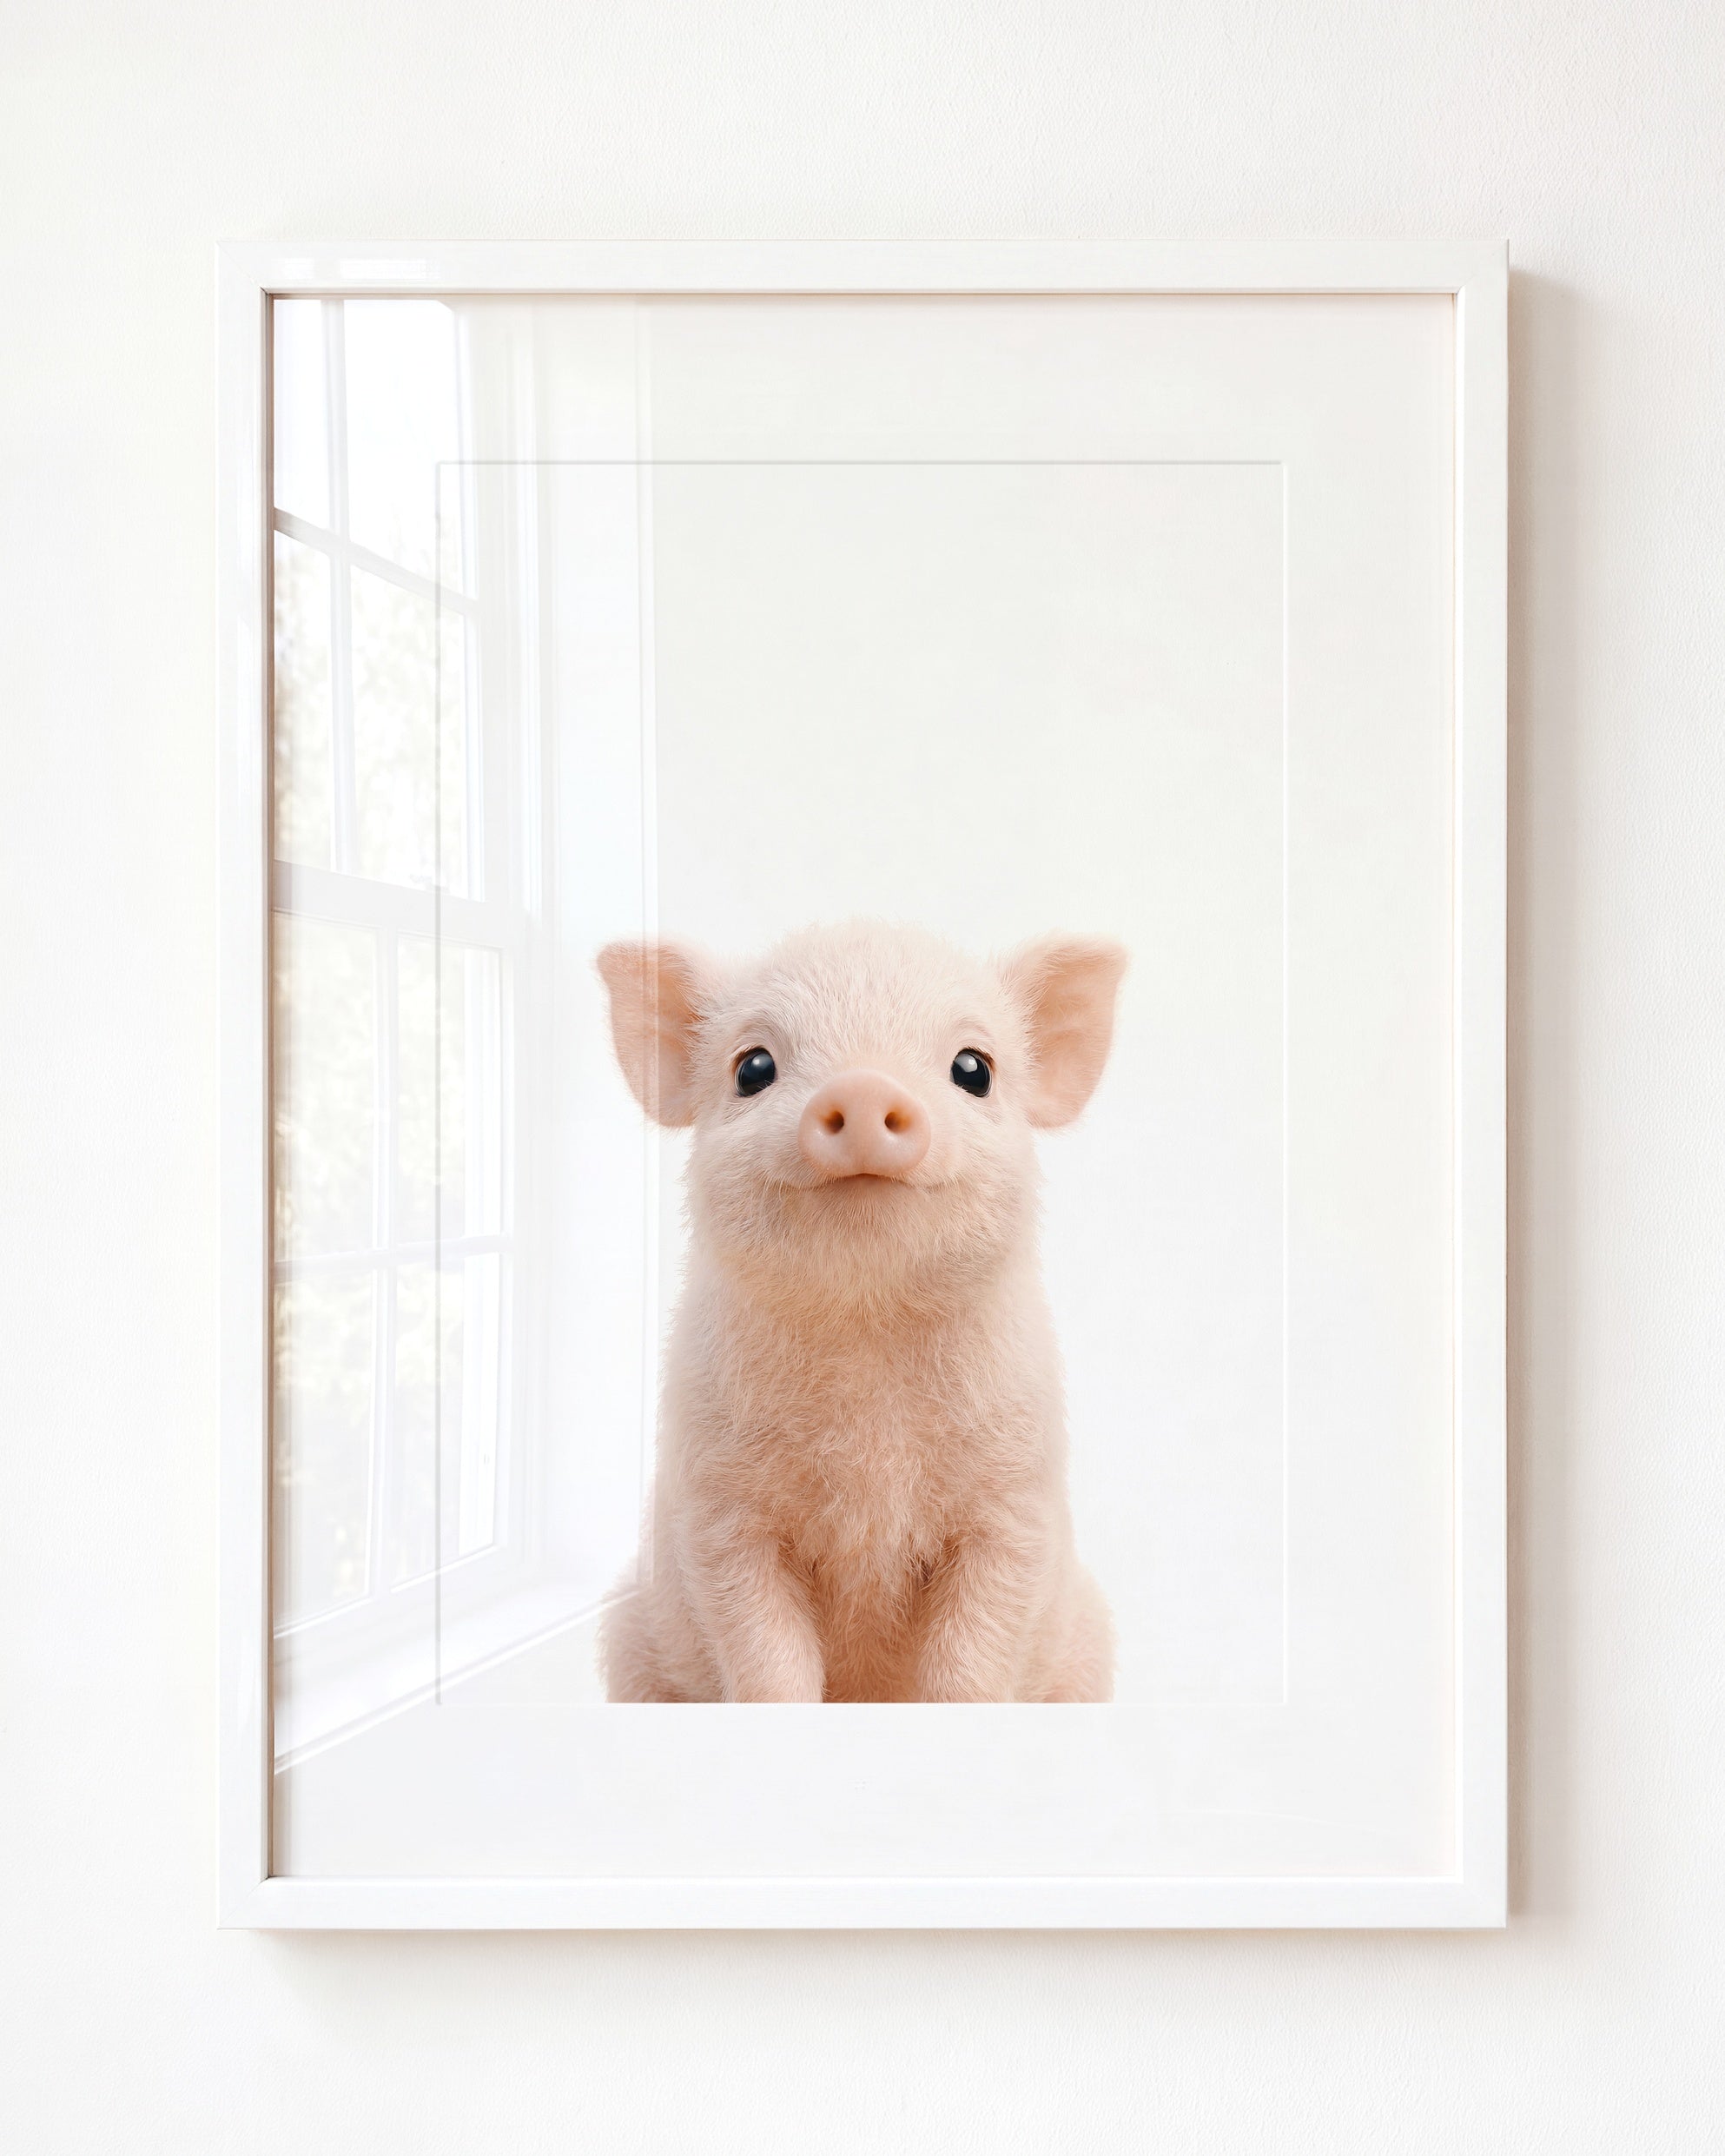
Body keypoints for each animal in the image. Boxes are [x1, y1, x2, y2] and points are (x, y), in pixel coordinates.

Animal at [594, 919, 1126, 1703]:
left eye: (975, 1069)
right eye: (753, 1067)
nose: (865, 1084)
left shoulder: (1014, 1503)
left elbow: (969, 1663)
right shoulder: (719, 1514)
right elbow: (768, 1660)